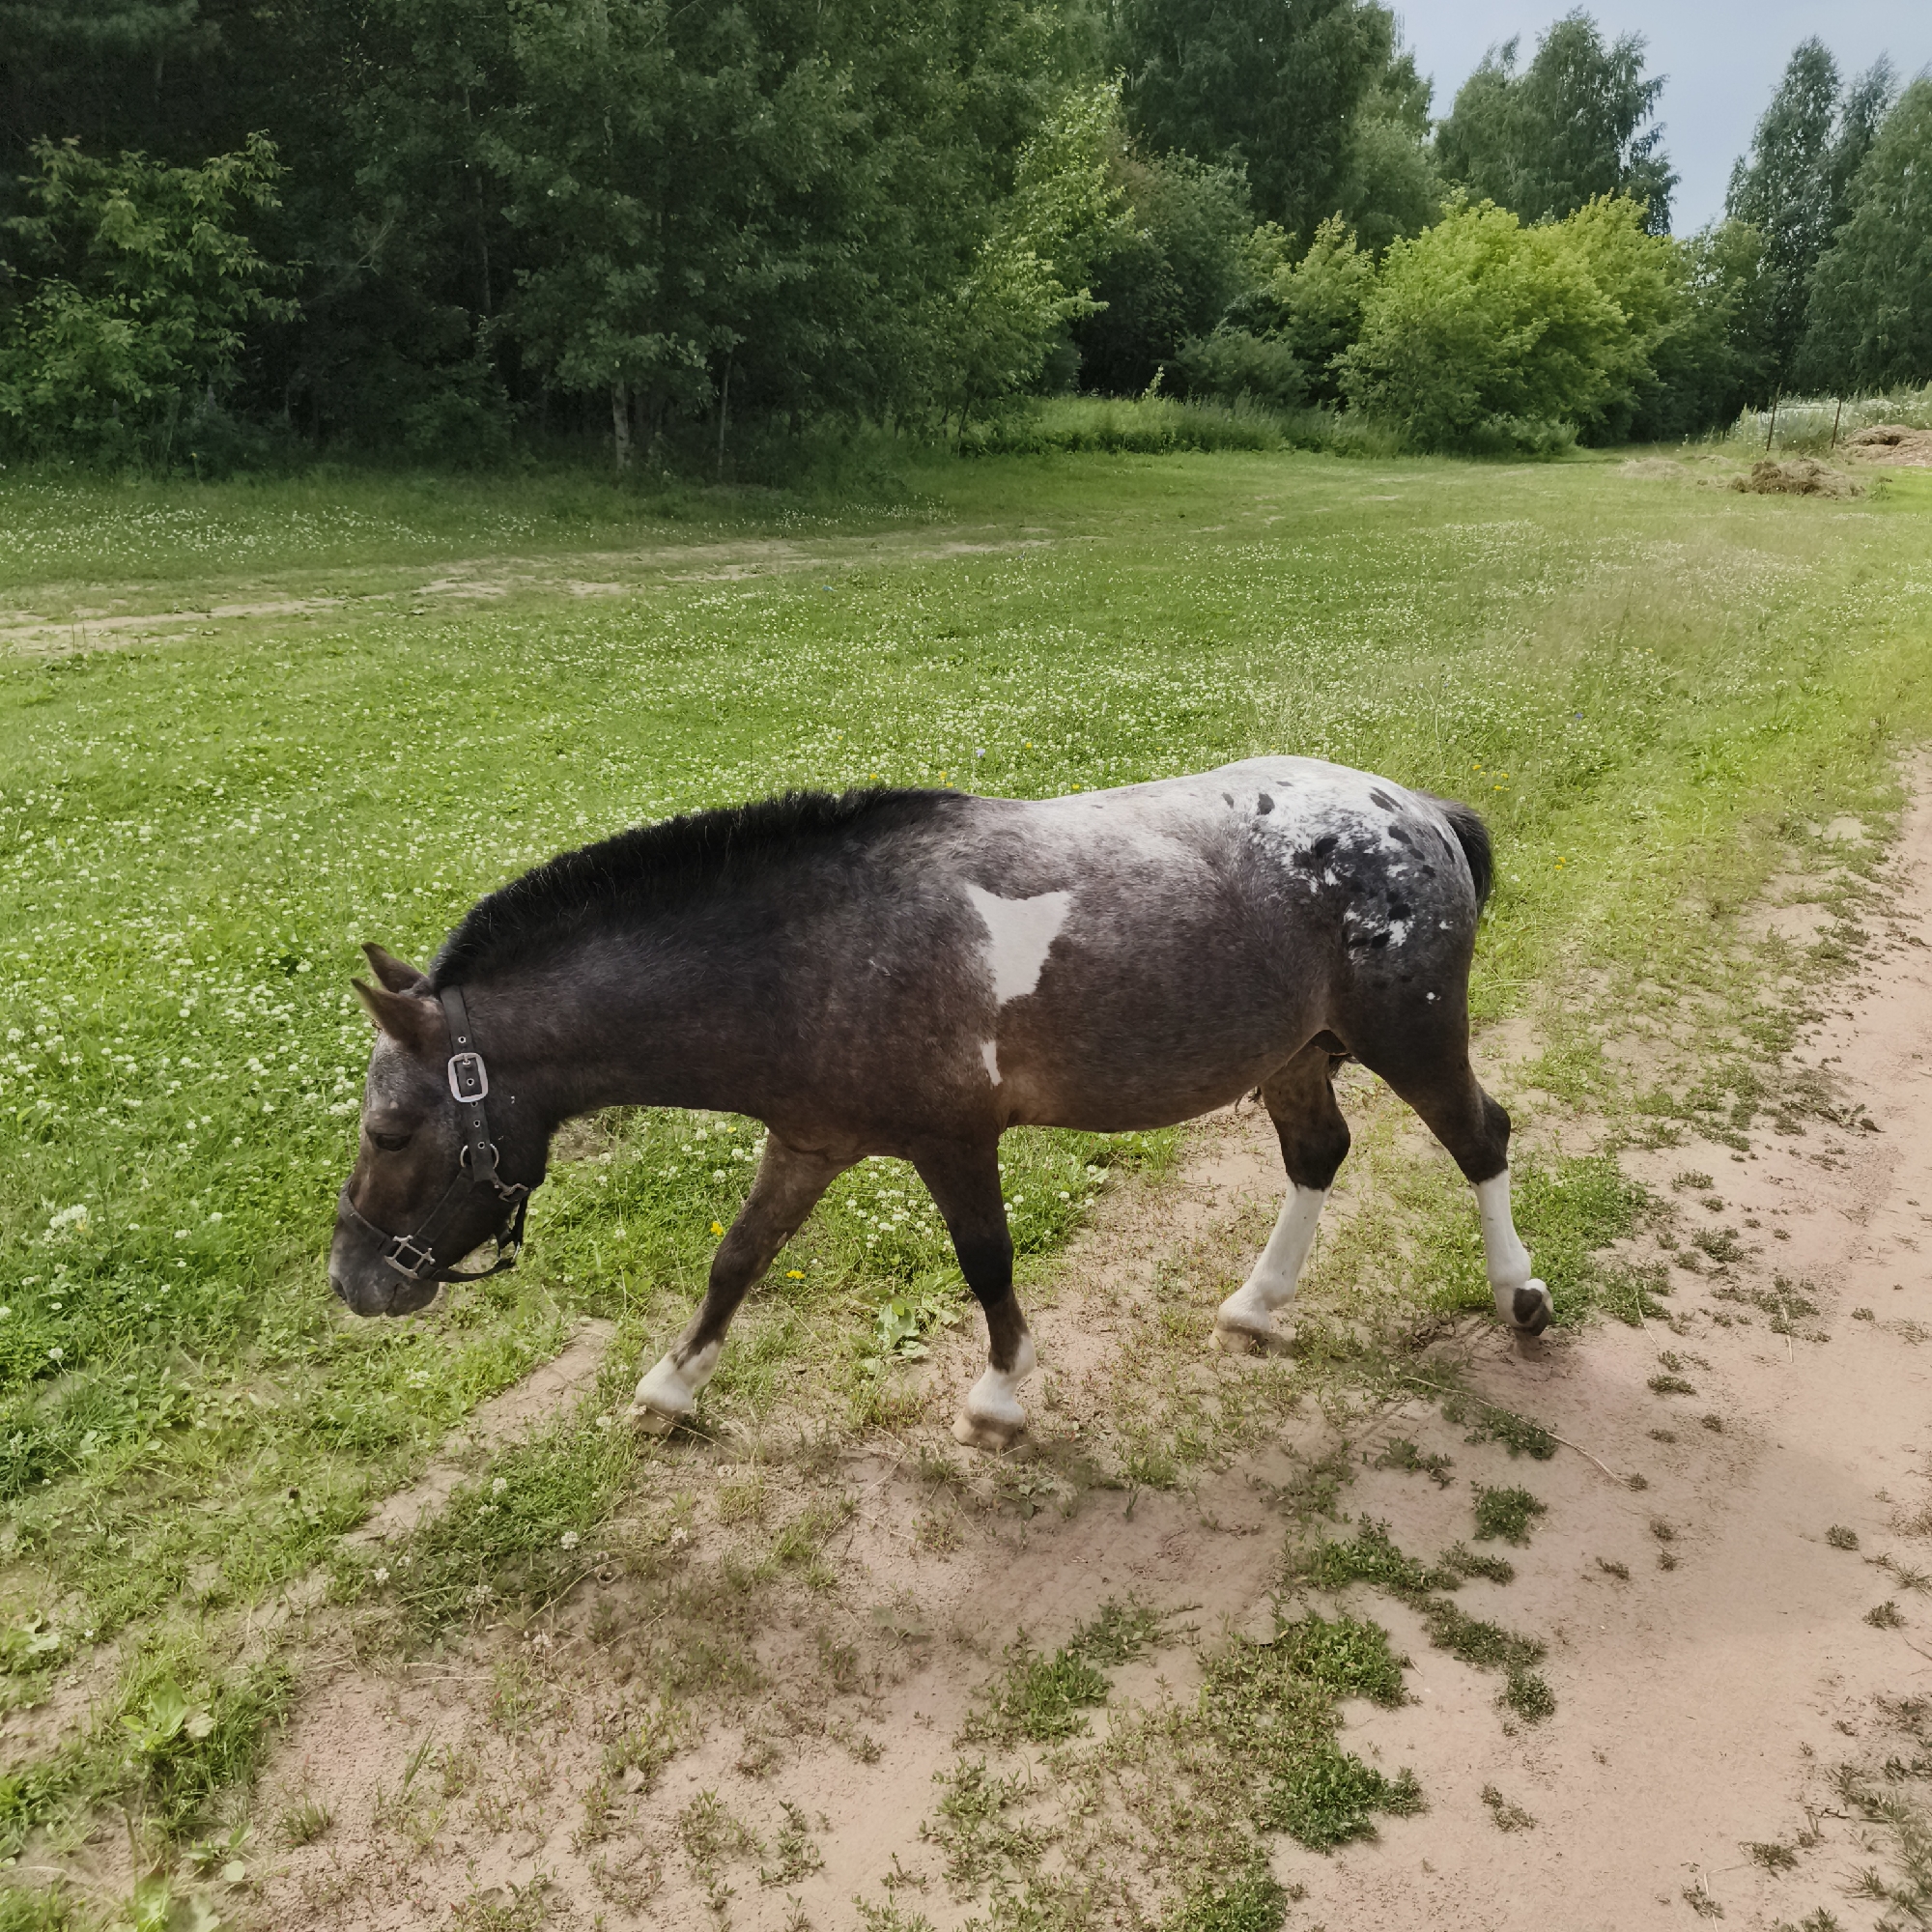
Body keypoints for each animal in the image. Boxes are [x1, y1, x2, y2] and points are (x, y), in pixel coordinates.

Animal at [328, 756, 1550, 1450]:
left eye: (390, 1129)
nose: (353, 1281)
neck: (818, 952)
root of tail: (1417, 811)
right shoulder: (807, 1142)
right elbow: (737, 1259)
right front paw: (671, 1386)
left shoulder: (953, 1142)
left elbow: (986, 1264)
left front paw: (1000, 1398)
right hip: (1293, 1054)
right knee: (1317, 1153)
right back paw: (1255, 1303)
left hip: (1410, 1038)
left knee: (1478, 1138)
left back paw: (1518, 1294)